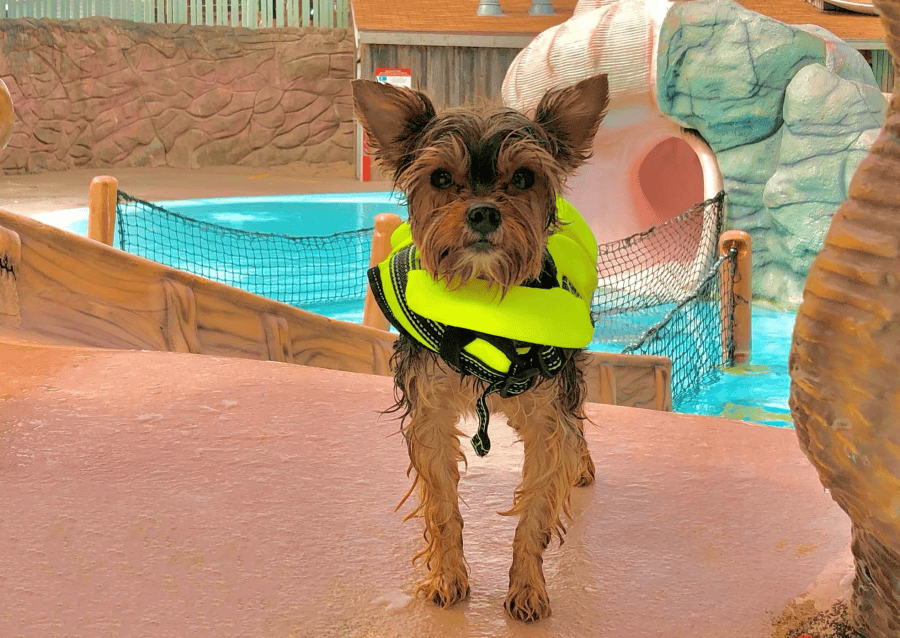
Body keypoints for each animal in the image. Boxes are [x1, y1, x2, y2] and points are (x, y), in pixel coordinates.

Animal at [352, 72, 612, 624]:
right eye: (440, 179)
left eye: (524, 179)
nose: (484, 212)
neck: (483, 301)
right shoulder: (429, 413)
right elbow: (442, 508)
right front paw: (447, 577)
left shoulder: (547, 417)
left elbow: (536, 508)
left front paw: (528, 587)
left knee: (578, 420)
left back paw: (581, 464)